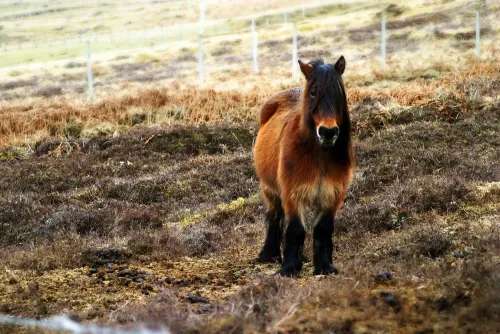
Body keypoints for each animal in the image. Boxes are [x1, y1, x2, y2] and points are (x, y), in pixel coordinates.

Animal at [254, 56, 356, 276]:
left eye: (339, 92)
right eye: (313, 92)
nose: (328, 132)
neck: (320, 156)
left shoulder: (332, 195)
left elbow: (323, 230)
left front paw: (324, 267)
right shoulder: (293, 194)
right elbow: (295, 230)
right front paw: (289, 268)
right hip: (270, 190)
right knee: (274, 217)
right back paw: (269, 255)